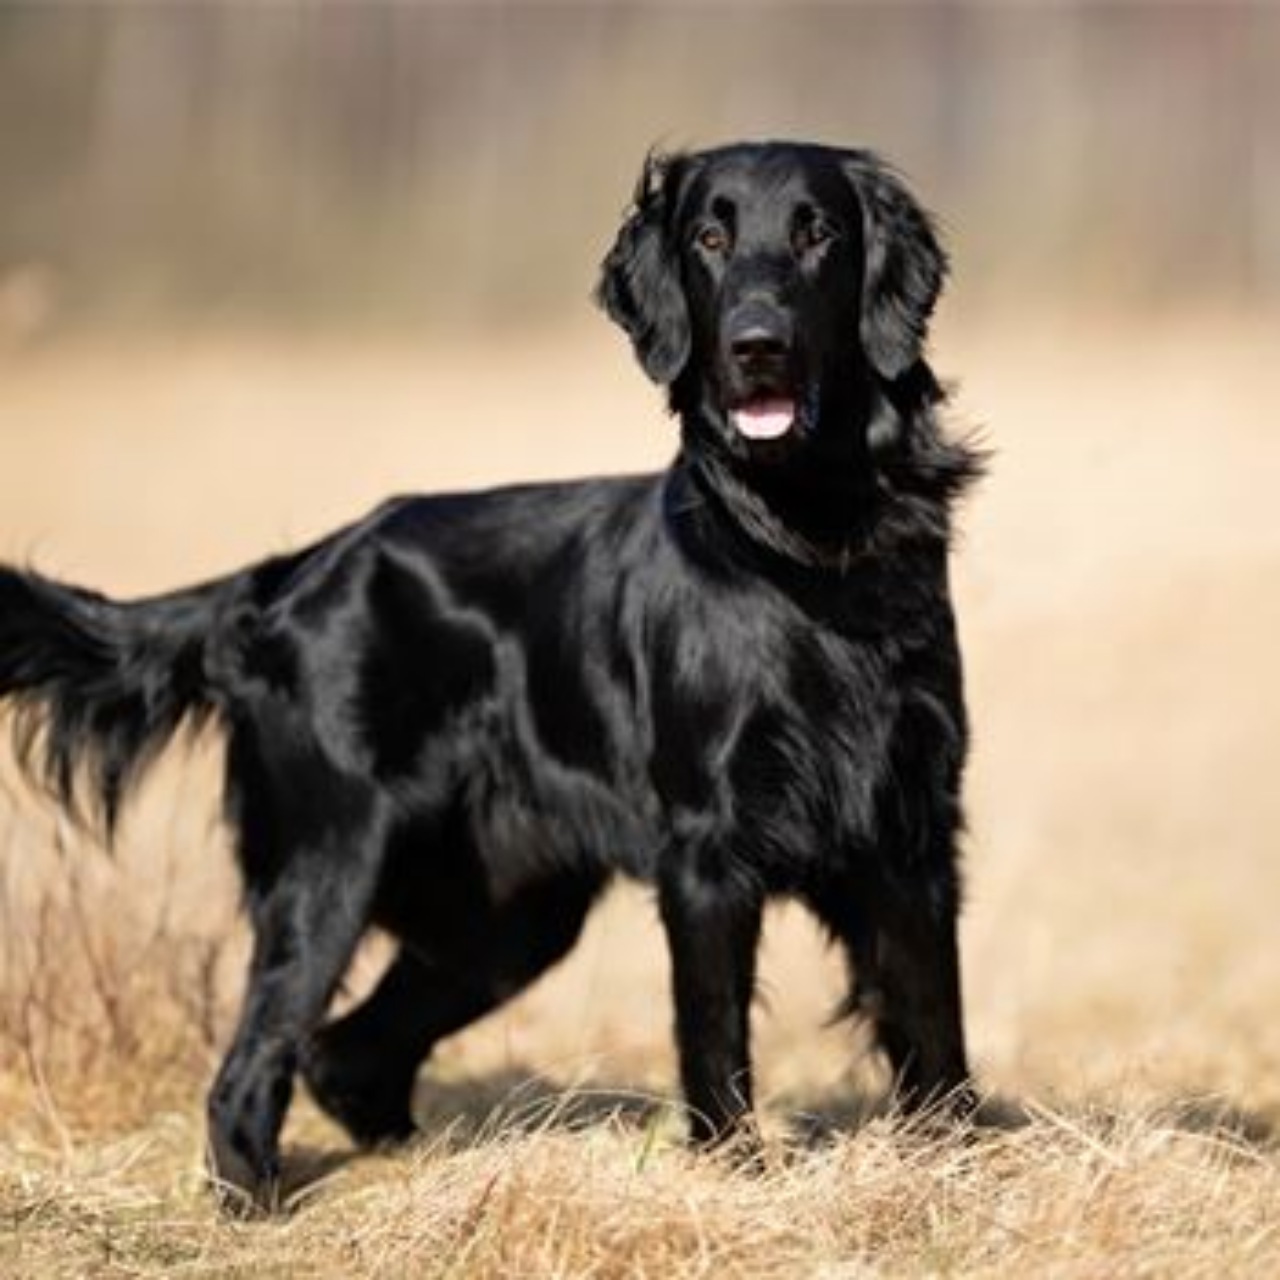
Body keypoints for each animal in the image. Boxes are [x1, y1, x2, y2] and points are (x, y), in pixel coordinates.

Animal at [0, 145, 977, 1203]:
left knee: (344, 1053)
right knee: (252, 1065)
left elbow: (935, 1025)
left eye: (817, 232)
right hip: (330, 864)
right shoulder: (708, 855)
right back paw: (257, 1198)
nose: (757, 345)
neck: (809, 548)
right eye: (710, 238)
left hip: (506, 916)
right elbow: (716, 1039)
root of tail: (292, 573)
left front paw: (956, 1161)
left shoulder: (913, 833)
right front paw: (735, 1178)